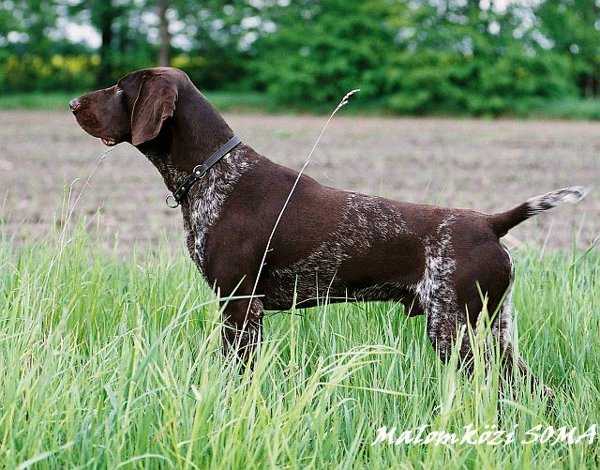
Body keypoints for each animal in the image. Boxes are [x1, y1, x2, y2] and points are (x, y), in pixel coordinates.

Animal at [71, 66, 592, 394]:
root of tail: (489, 222)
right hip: (495, 330)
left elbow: (238, 373)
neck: (214, 173)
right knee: (532, 389)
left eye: (120, 88)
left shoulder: (239, 305)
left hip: (455, 330)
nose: (73, 103)